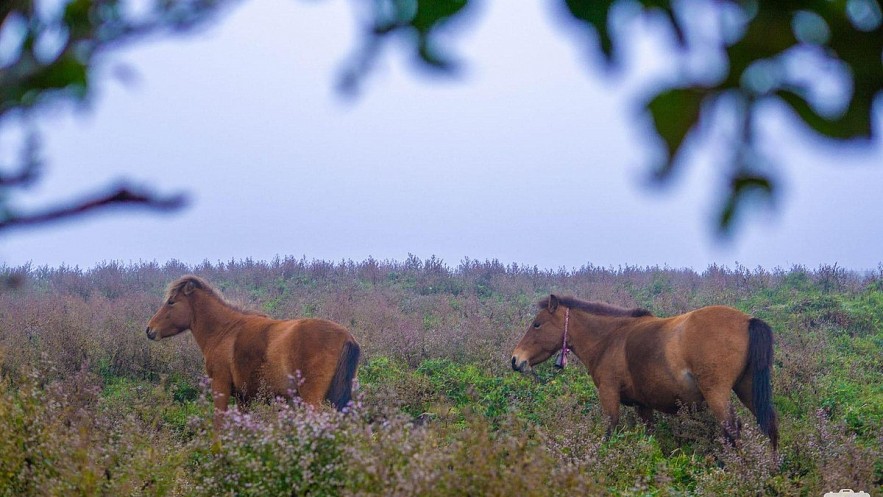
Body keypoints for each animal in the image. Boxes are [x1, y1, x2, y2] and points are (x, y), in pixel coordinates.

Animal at [147, 276, 360, 426]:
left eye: (171, 302)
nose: (149, 330)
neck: (225, 330)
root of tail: (347, 336)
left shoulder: (220, 388)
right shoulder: (244, 398)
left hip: (312, 400)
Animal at [512, 292, 780, 448]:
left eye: (537, 324)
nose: (516, 360)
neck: (610, 339)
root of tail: (748, 320)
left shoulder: (609, 394)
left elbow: (609, 429)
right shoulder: (644, 405)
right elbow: (649, 435)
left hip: (717, 393)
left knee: (732, 429)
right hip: (747, 388)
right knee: (770, 426)